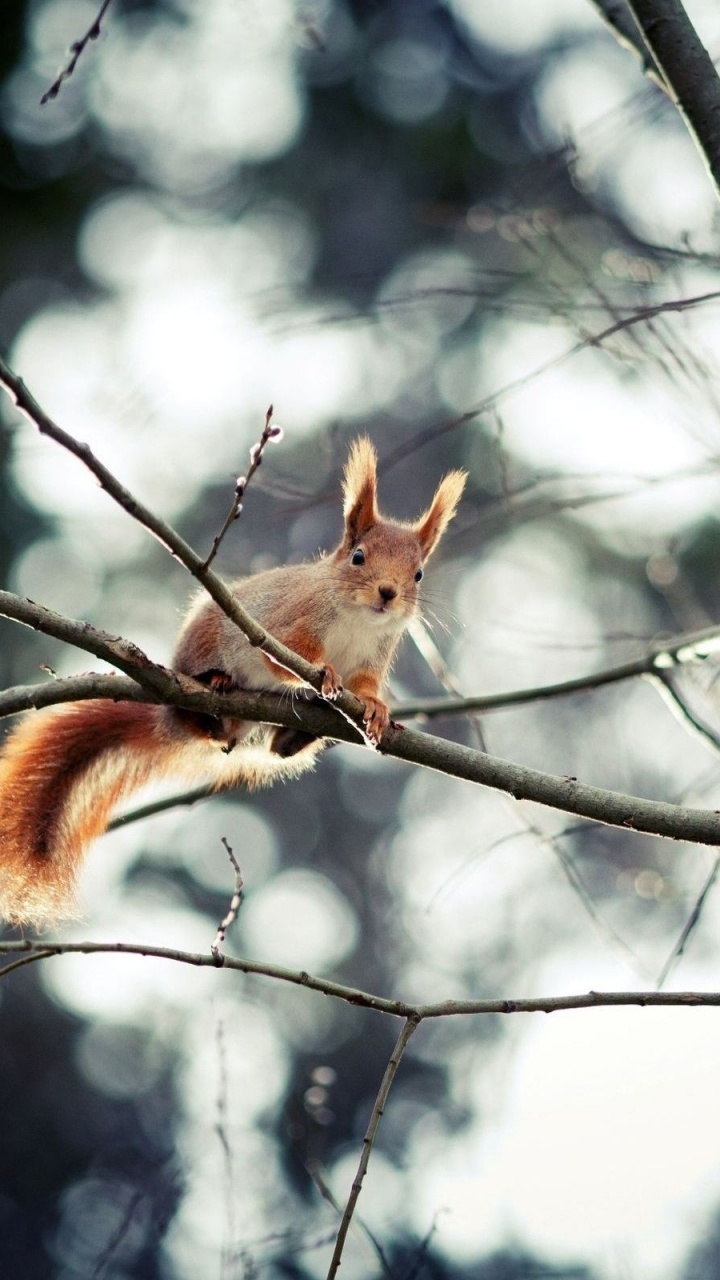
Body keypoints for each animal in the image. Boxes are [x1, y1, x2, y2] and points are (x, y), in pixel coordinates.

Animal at [0, 435, 466, 926]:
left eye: (418, 574)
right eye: (359, 557)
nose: (388, 593)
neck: (359, 619)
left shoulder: (375, 656)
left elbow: (365, 687)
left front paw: (376, 709)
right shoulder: (287, 626)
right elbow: (286, 659)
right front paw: (323, 674)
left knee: (273, 748)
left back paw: (293, 736)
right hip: (199, 651)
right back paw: (218, 686)